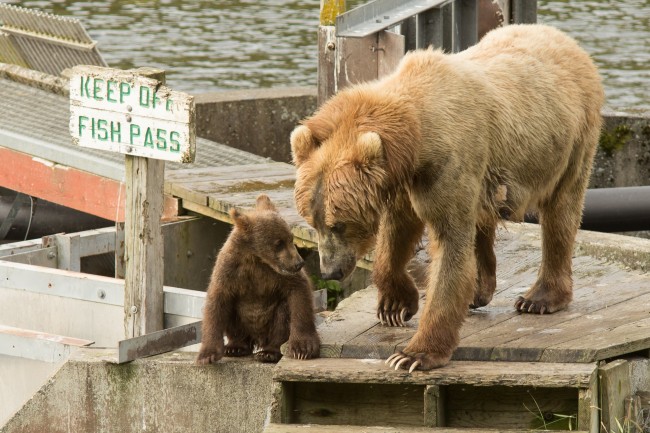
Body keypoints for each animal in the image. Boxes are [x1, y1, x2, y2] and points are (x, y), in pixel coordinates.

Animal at [288, 23, 604, 370]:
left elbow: (449, 244)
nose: (330, 270)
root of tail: (565, 39)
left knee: (561, 213)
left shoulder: (447, 162)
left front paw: (412, 355)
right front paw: (395, 306)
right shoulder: (404, 181)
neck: (415, 139)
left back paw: (540, 297)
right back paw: (480, 287)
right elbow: (397, 234)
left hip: (572, 141)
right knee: (484, 216)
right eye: (313, 221)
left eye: (339, 223)